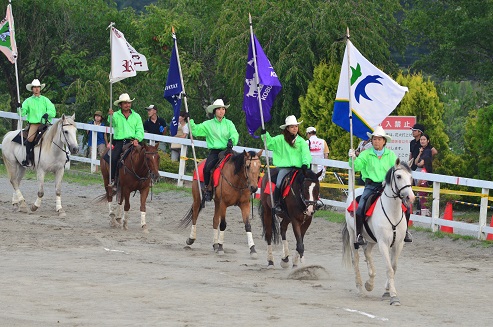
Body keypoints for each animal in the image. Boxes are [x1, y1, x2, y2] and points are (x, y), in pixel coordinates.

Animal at [340, 160, 414, 308]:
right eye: (398, 176)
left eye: (410, 177)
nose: (410, 197)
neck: (392, 212)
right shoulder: (383, 244)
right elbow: (389, 269)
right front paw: (393, 297)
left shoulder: (398, 244)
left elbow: (394, 267)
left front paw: (387, 291)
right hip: (353, 236)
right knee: (356, 259)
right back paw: (361, 288)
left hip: (371, 240)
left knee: (367, 252)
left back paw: (370, 282)